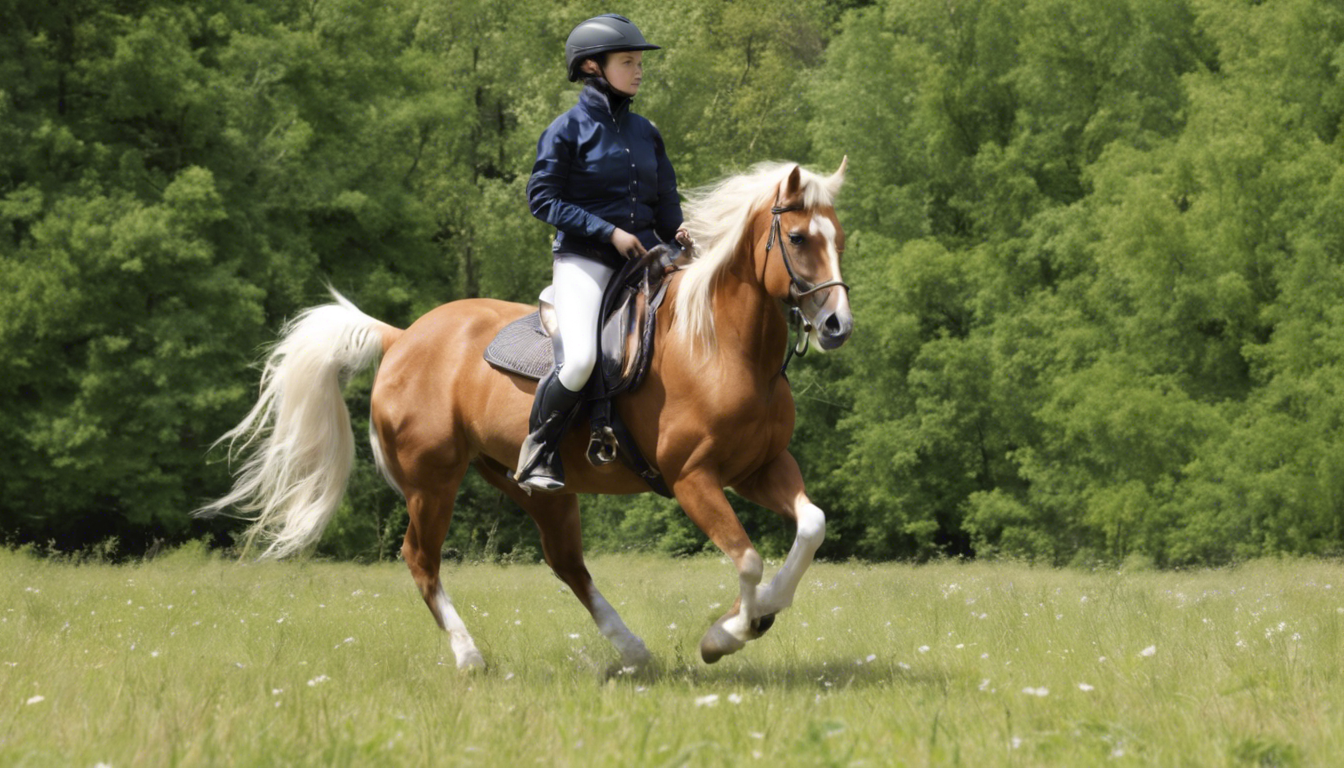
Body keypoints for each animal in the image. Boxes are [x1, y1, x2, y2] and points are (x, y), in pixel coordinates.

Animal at [199, 159, 854, 670]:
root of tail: (401, 337)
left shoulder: (761, 468)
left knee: (567, 564)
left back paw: (633, 651)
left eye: (839, 238)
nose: (836, 326)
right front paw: (728, 634)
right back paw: (469, 657)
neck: (720, 347)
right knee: (421, 560)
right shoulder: (695, 479)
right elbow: (747, 556)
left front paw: (763, 610)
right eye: (799, 239)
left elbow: (811, 527)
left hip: (533, 487)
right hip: (432, 482)